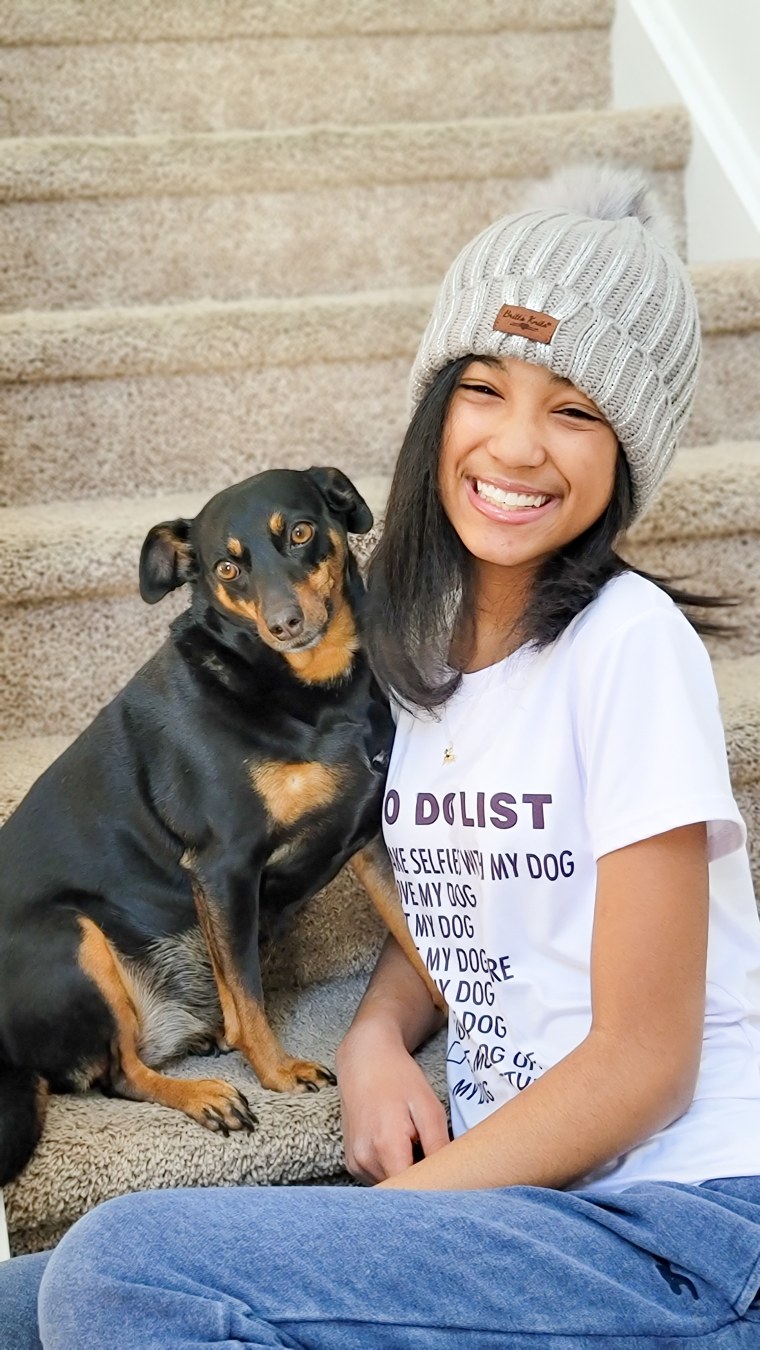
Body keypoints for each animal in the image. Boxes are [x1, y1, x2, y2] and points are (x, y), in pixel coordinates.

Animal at [0, 467, 440, 1182]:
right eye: (227, 568)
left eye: (300, 531)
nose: (286, 624)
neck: (318, 696)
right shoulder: (224, 865)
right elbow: (250, 994)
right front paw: (280, 1073)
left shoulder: (371, 839)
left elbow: (415, 941)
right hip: (71, 936)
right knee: (118, 1074)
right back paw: (207, 1095)